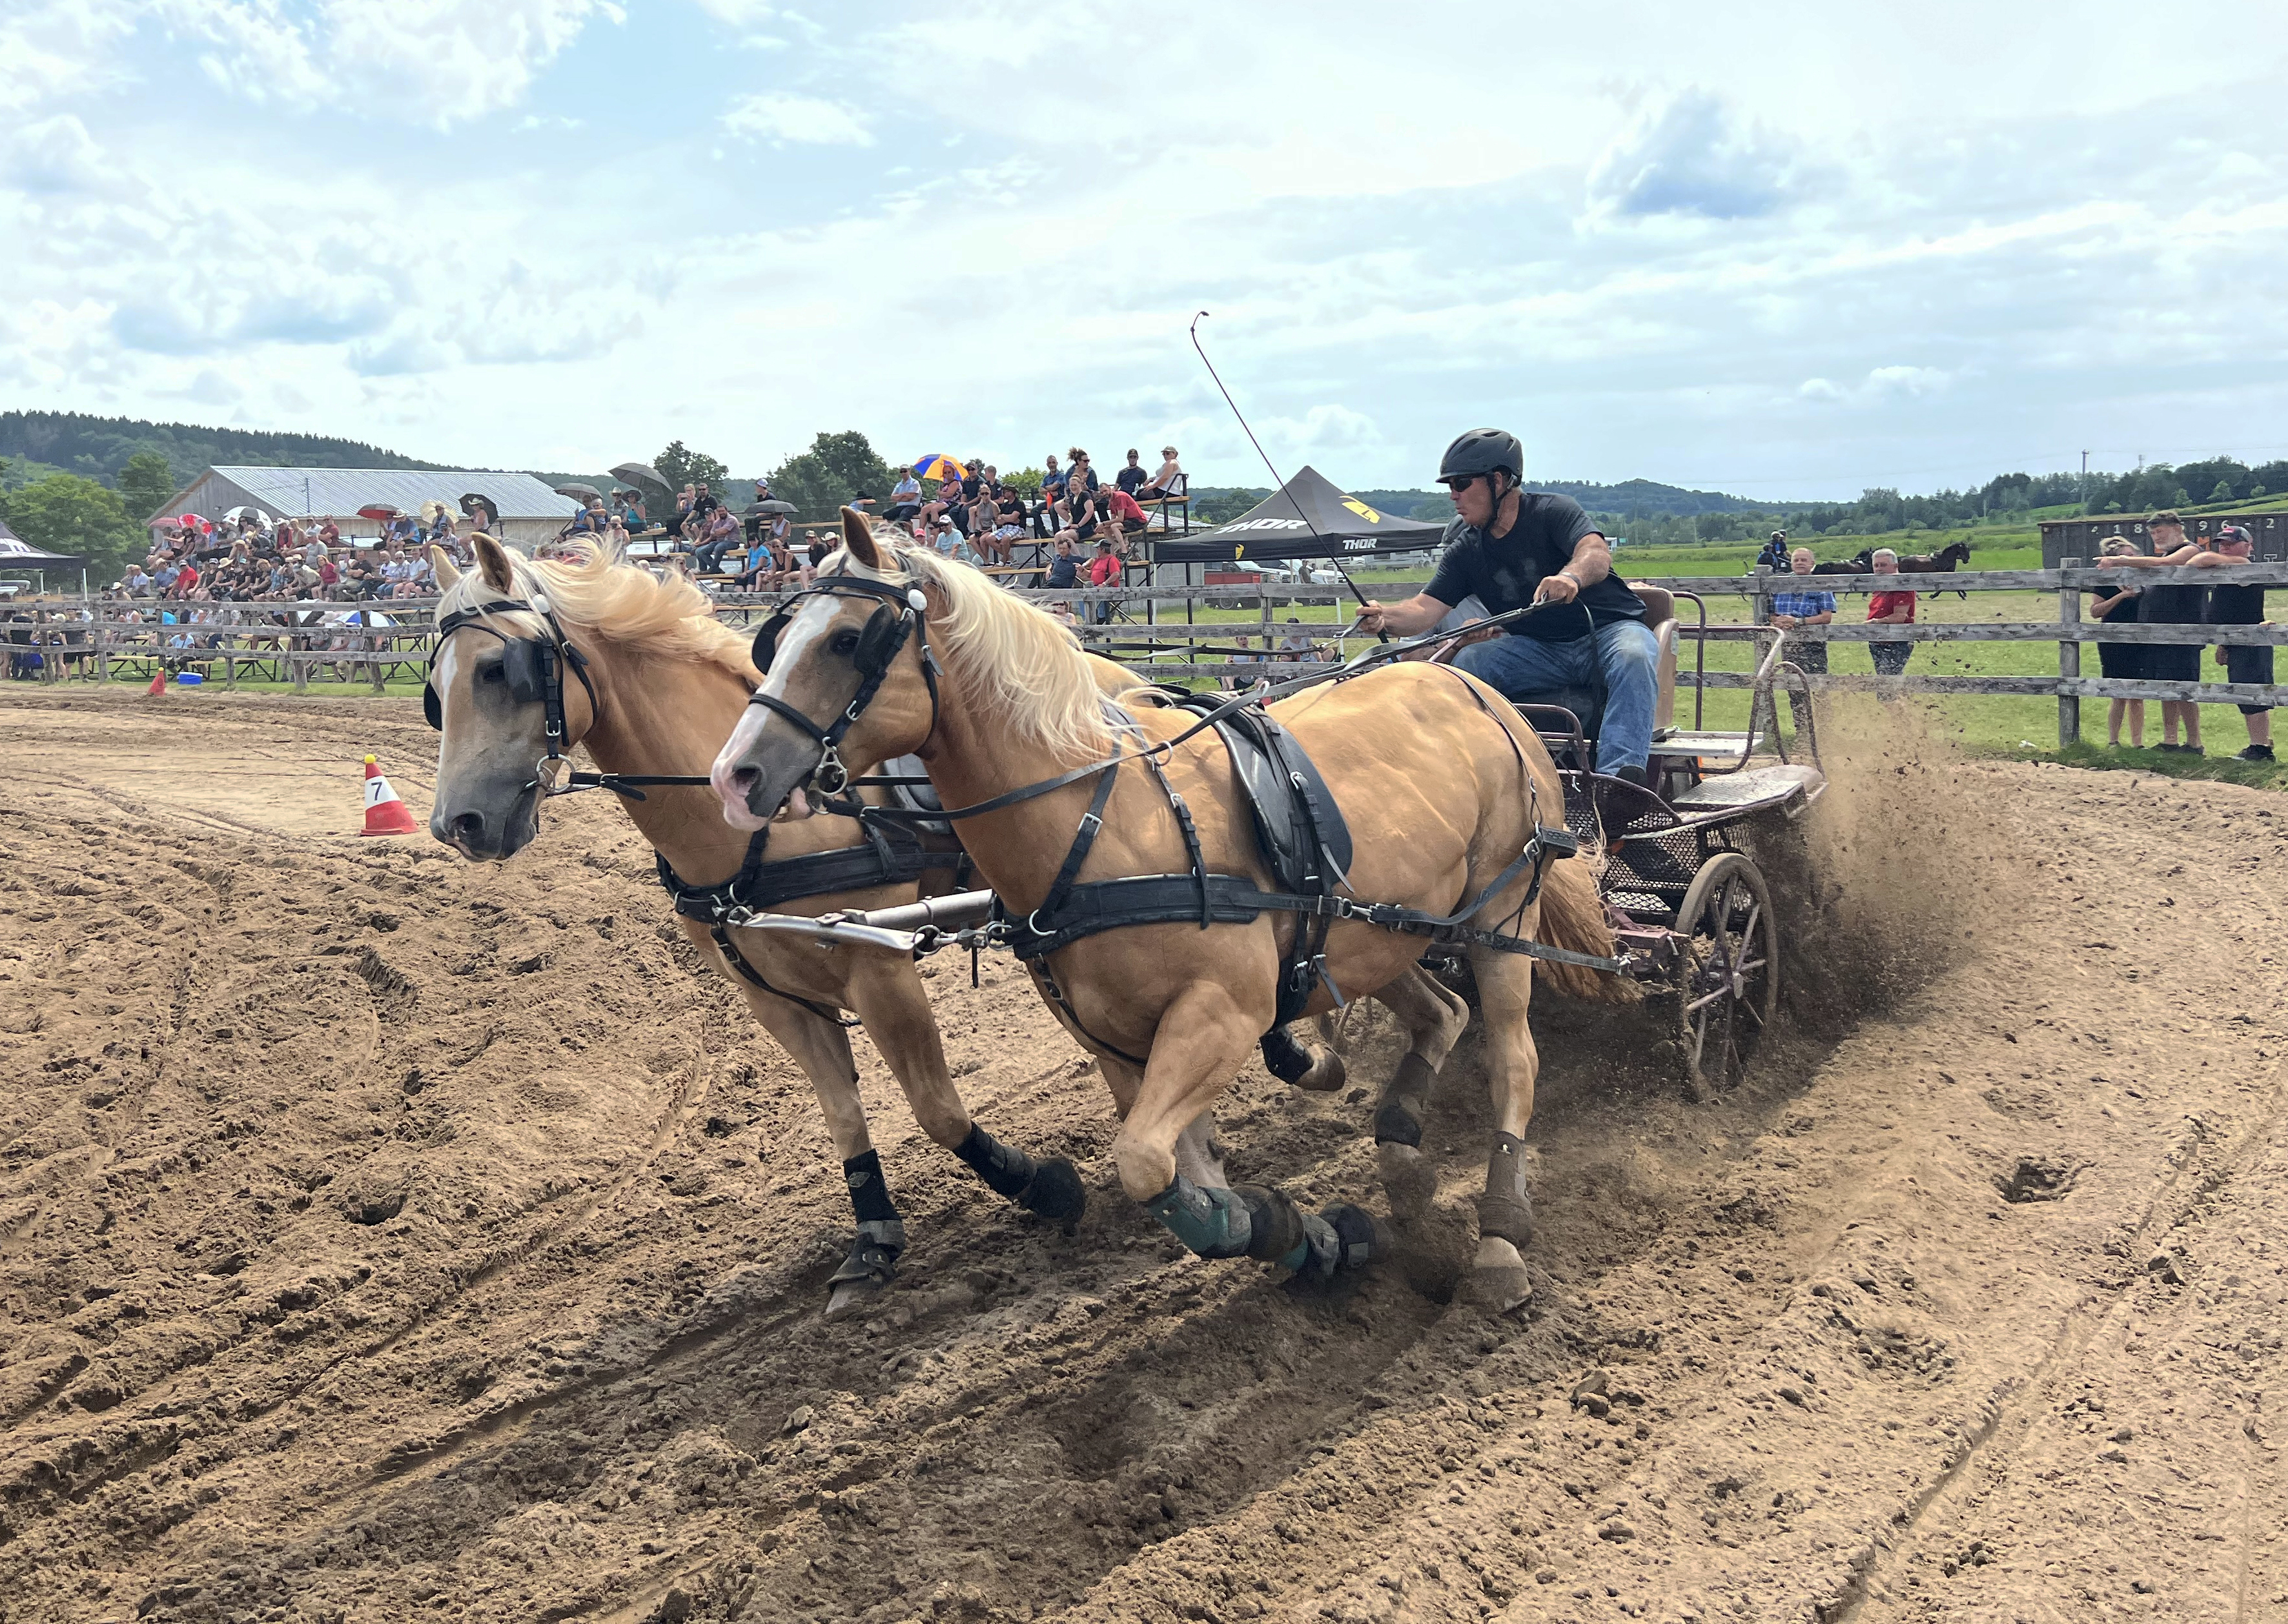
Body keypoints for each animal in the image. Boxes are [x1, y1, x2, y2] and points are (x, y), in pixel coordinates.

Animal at [430, 537, 1107, 1326]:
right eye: (435, 687)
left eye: (496, 669)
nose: (457, 824)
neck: (757, 833)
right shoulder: (774, 998)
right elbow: (843, 1116)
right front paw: (874, 1242)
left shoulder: (880, 972)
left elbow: (936, 1110)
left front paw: (1045, 1185)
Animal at [704, 519, 1620, 1308]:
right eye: (773, 640)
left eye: (845, 639)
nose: (734, 776)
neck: (1102, 824)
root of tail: (1472, 685)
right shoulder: (1115, 1043)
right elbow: (1190, 1187)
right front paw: (1315, 1237)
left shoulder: (1221, 1015)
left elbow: (1145, 1164)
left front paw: (1306, 1230)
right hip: (1377, 936)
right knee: (1443, 1012)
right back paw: (1400, 1159)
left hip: (1500, 919)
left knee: (1512, 1056)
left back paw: (1499, 1240)